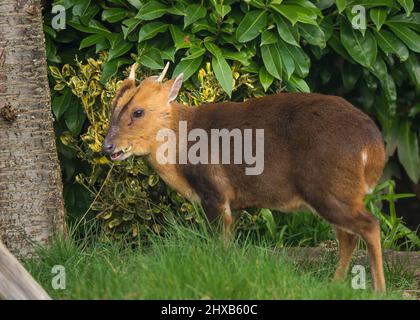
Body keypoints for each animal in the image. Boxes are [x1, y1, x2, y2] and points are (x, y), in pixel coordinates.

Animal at [103, 62, 386, 292]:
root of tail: (374, 147)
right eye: (112, 108)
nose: (107, 147)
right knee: (348, 236)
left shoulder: (214, 192)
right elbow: (228, 244)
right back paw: (334, 284)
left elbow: (218, 243)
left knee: (369, 225)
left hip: (328, 188)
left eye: (138, 112)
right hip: (337, 191)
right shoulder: (235, 203)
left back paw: (378, 289)